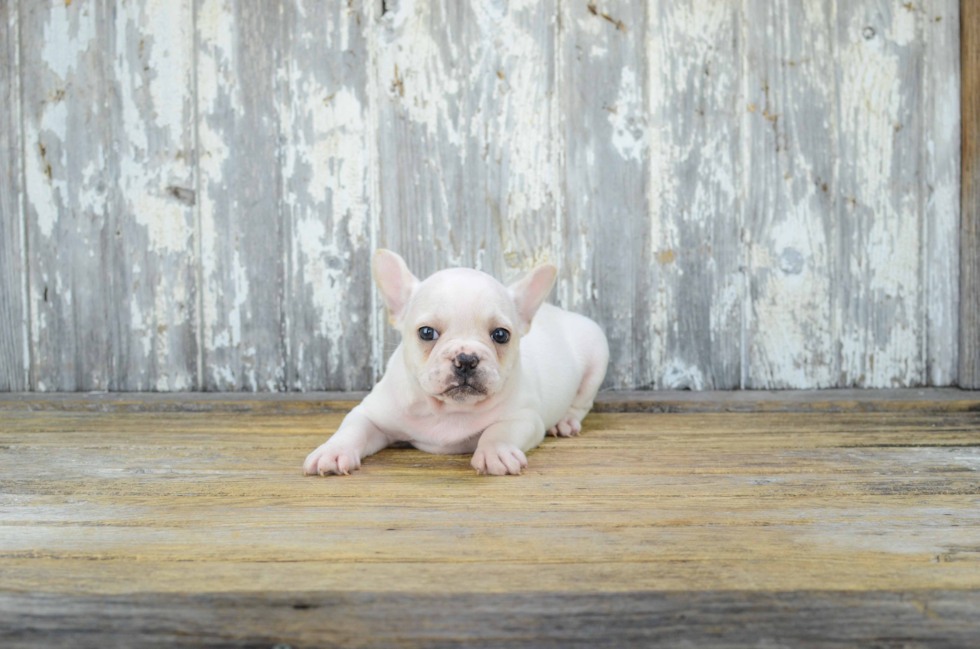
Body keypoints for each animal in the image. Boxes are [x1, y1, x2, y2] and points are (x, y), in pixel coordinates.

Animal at [302, 248, 608, 476]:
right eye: (426, 333)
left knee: (582, 402)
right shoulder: (371, 414)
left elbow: (499, 430)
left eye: (501, 335)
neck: (448, 411)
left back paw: (565, 422)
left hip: (597, 352)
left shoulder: (524, 417)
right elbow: (352, 428)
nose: (466, 359)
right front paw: (333, 451)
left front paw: (495, 452)